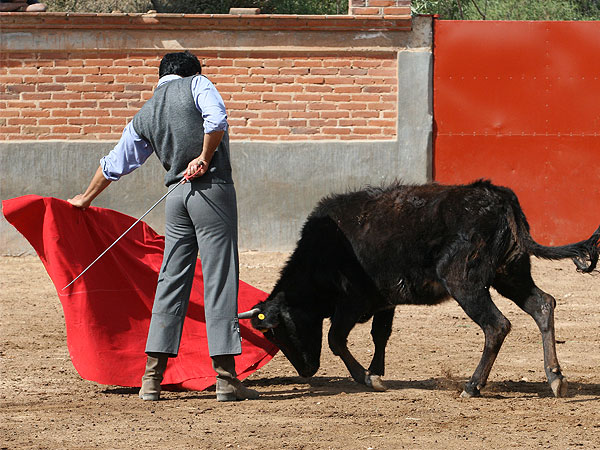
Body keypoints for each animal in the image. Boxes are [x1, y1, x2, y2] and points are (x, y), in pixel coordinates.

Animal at [240, 180, 600, 398]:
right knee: (543, 304)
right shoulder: (384, 301)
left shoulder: (353, 301)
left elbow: (335, 338)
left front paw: (367, 378)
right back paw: (555, 378)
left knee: (496, 325)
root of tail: (499, 195)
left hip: (464, 280)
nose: (306, 371)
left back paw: (472, 386)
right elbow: (380, 334)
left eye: (277, 331)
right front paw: (377, 372)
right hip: (510, 274)